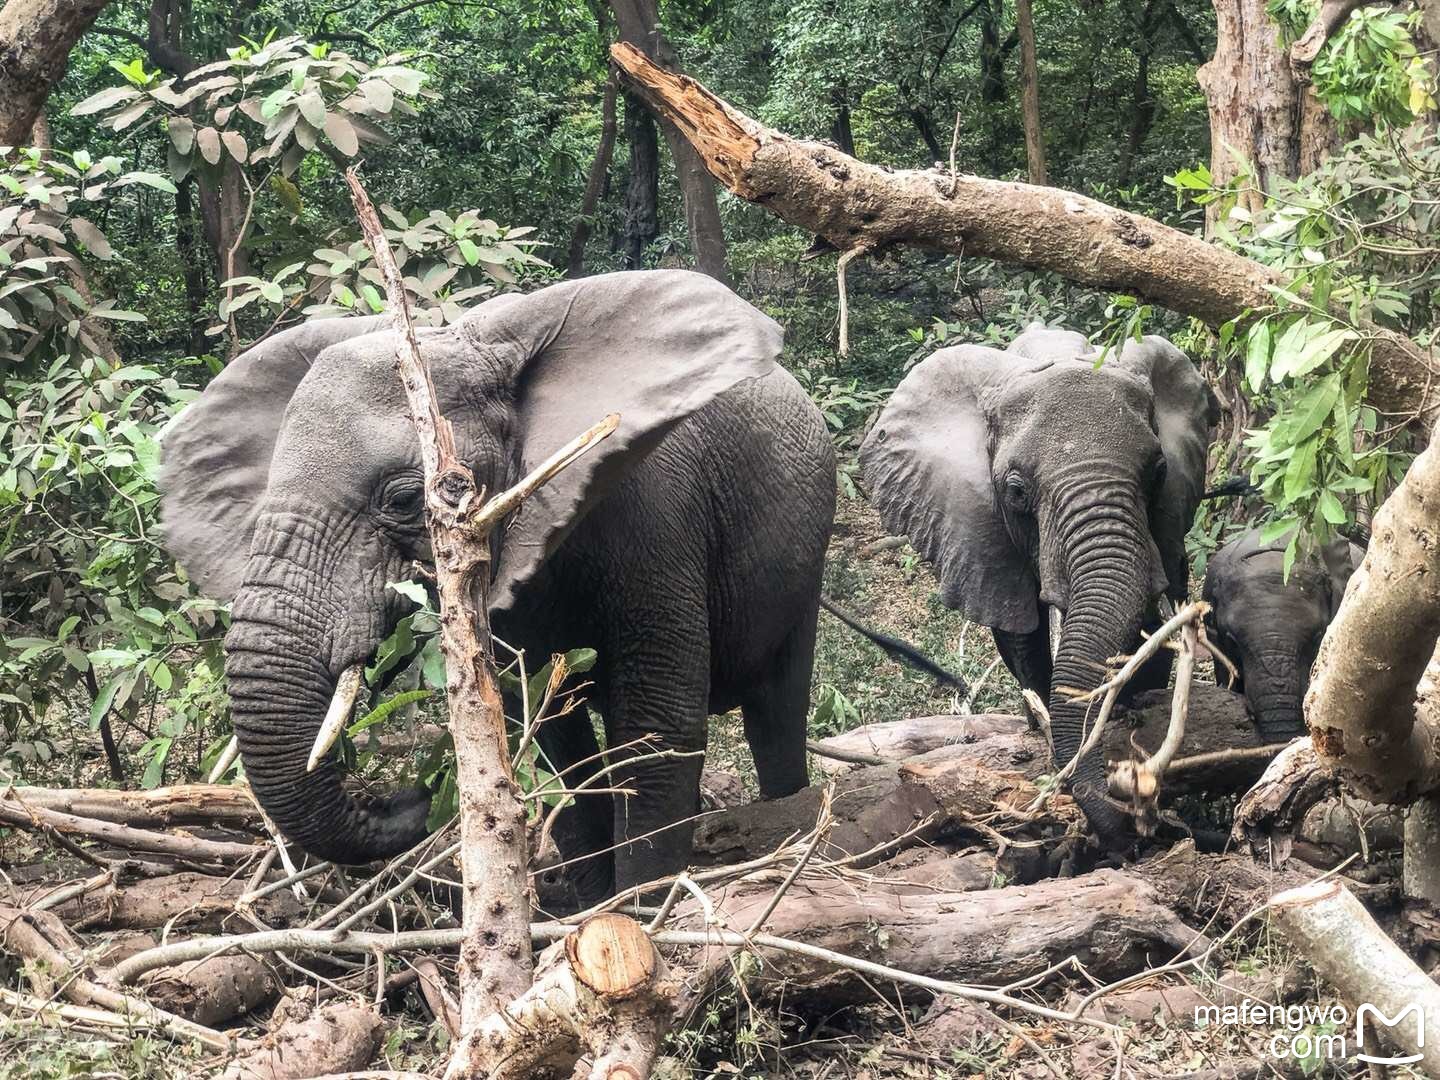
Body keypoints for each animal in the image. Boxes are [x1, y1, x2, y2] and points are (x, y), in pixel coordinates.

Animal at [159, 272, 840, 904]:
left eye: (404, 500)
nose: (411, 795)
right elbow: (548, 726)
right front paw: (586, 909)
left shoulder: (654, 510)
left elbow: (655, 727)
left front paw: (640, 910)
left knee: (778, 708)